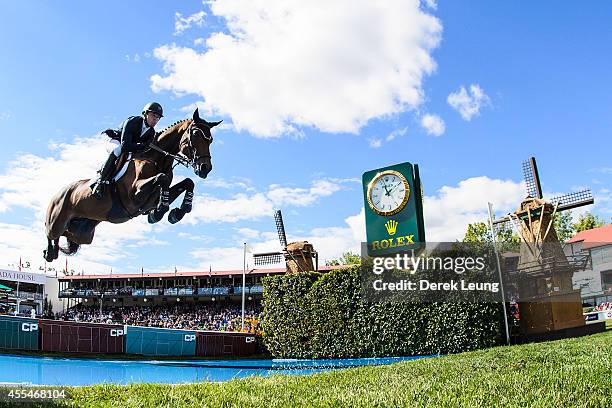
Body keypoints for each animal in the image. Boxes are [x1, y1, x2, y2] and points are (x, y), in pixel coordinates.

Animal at [43, 108, 221, 262]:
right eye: (196, 134)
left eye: (211, 140)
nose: (205, 168)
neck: (156, 158)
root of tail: (58, 194)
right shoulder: (134, 195)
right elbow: (162, 179)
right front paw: (160, 211)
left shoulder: (152, 198)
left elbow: (187, 183)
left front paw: (176, 213)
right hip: (57, 221)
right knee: (50, 232)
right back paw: (49, 252)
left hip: (83, 233)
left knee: (67, 235)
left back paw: (54, 251)